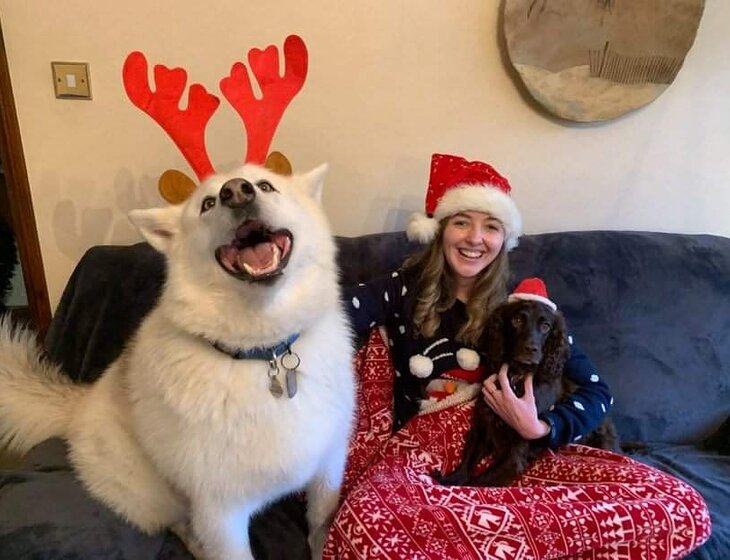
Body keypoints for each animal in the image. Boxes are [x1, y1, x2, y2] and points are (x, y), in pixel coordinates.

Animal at [0, 163, 355, 560]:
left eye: (265, 185)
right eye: (208, 203)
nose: (237, 192)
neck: (265, 354)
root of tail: (80, 403)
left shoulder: (329, 464)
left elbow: (321, 520)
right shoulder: (219, 513)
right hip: (153, 493)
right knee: (177, 523)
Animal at [436, 297, 617, 487]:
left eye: (546, 326)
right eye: (517, 320)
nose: (531, 349)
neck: (517, 377)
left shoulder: (515, 454)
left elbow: (477, 482)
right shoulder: (482, 426)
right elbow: (466, 465)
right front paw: (451, 479)